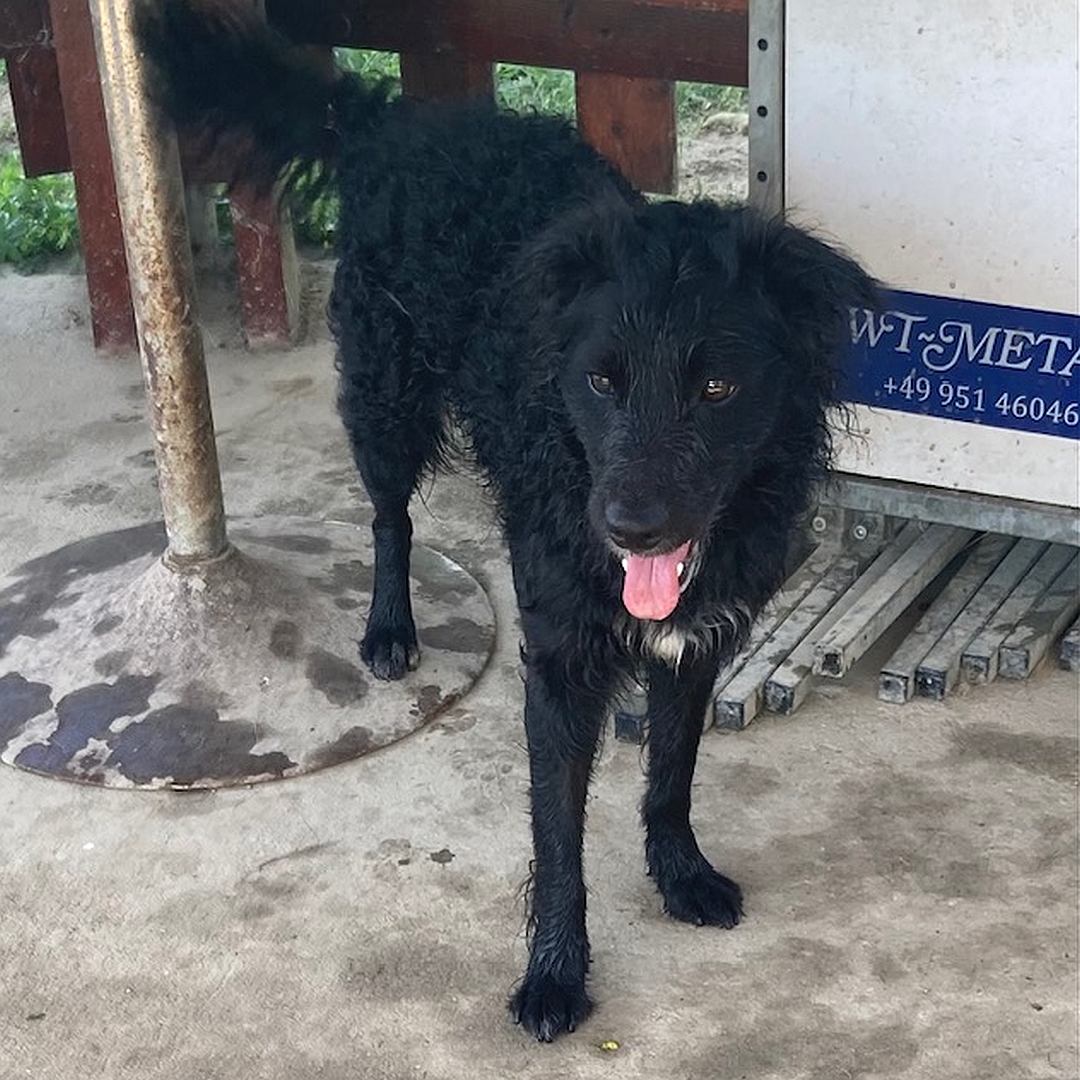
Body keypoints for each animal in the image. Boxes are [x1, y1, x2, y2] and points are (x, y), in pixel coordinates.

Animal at [139, 4, 876, 1041]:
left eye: (718, 389)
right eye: (601, 379)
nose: (631, 529)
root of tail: (394, 122)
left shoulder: (696, 641)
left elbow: (673, 772)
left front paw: (679, 874)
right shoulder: (560, 665)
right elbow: (558, 837)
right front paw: (555, 974)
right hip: (384, 401)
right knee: (389, 520)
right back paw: (389, 629)